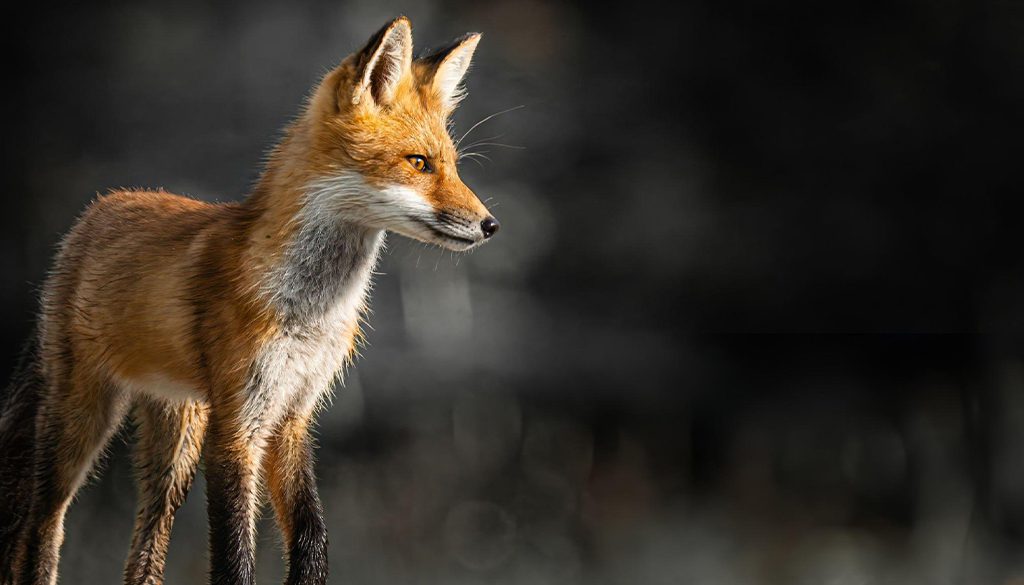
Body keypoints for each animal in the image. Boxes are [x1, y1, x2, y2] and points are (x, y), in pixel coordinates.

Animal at [0, 16, 499, 585]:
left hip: (178, 439)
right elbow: (234, 554)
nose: (490, 225)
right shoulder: (239, 423)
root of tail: (92, 215)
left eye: (453, 166)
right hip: (81, 416)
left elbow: (311, 536)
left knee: (145, 546)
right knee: (42, 524)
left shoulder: (294, 413)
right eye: (418, 163)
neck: (309, 313)